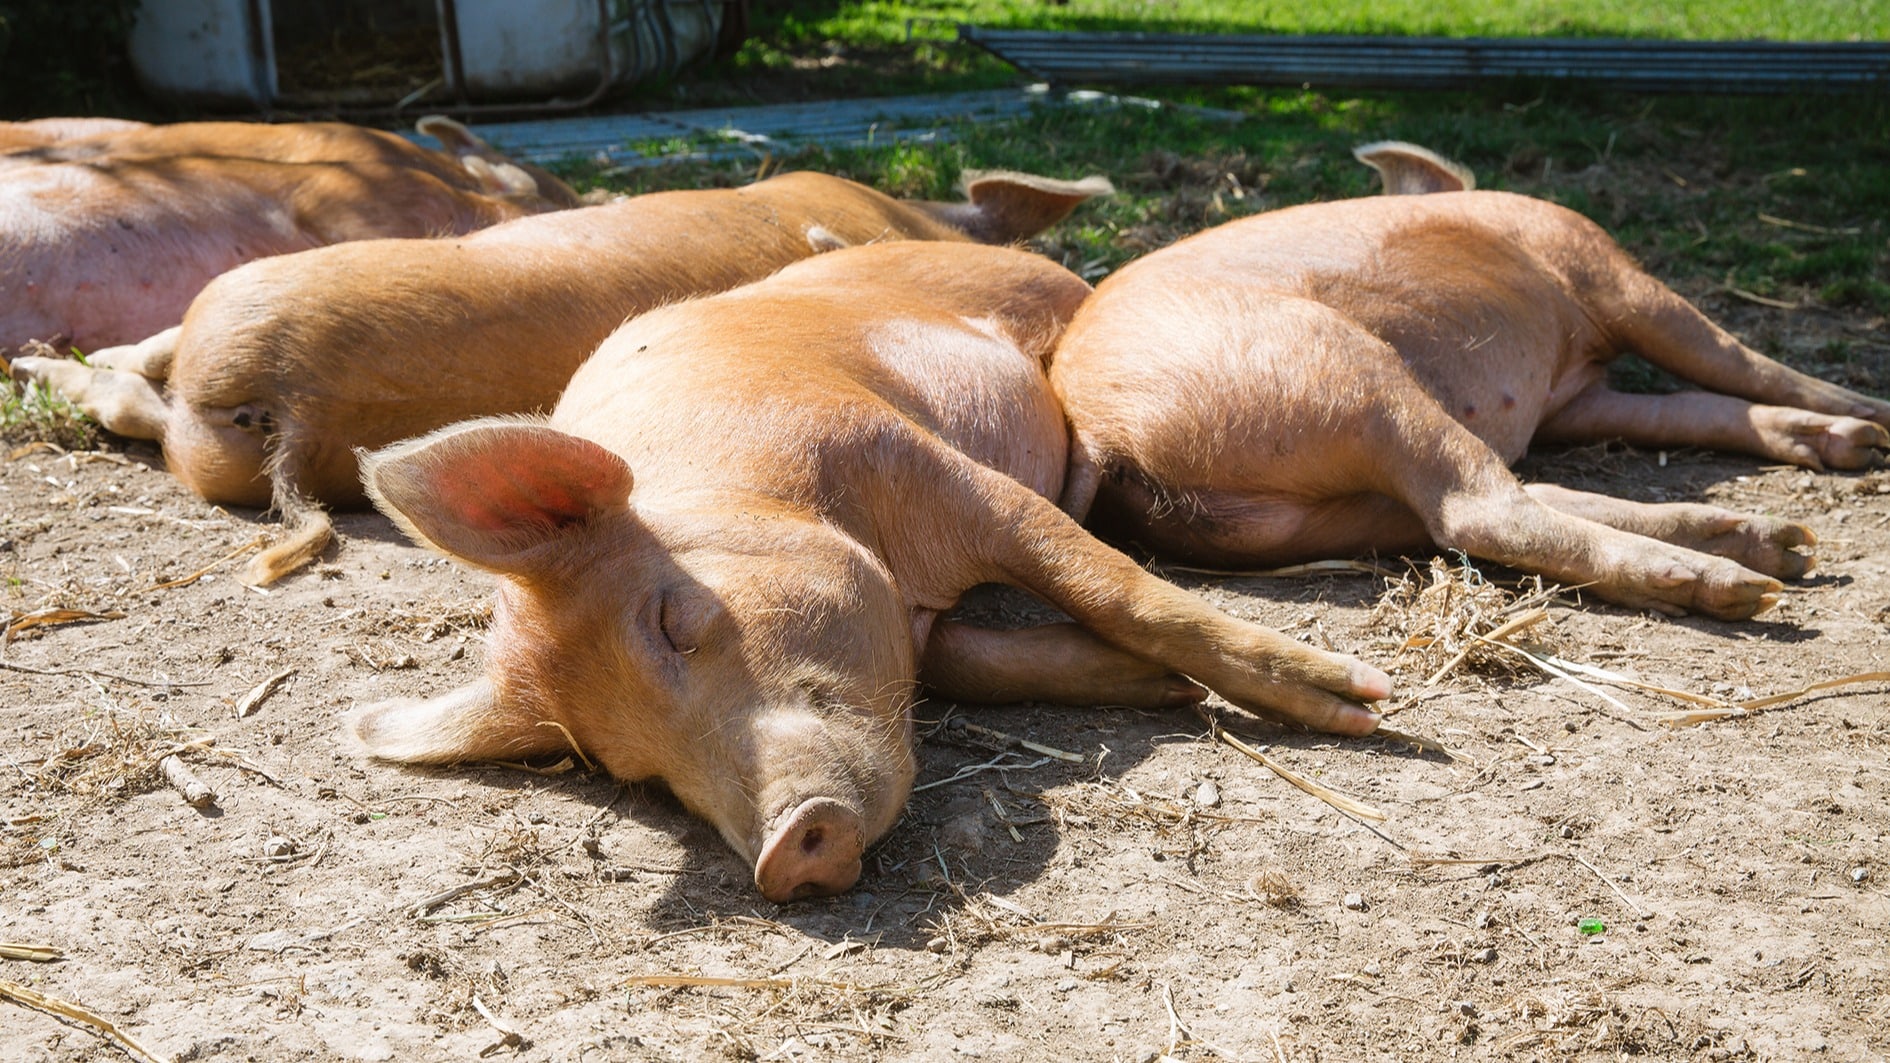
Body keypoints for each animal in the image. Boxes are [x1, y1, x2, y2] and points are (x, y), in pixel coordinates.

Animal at [355, 243, 1391, 896]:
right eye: (635, 772)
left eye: (672, 620)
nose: (786, 852)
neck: (747, 483)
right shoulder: (922, 616)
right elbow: (967, 660)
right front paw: (1161, 689)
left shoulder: (924, 460)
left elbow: (1111, 584)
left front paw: (1361, 701)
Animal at [1050, 142, 1890, 620]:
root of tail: (1095, 429)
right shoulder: (1605, 271)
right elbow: (1735, 358)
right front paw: (1876, 420)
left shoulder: (1576, 399)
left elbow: (1694, 406)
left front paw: (1858, 438)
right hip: (1344, 373)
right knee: (1477, 510)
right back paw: (1749, 587)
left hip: (1306, 514)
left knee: (1483, 503)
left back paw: (1788, 547)